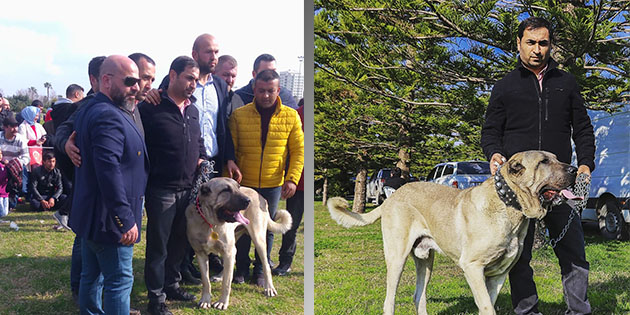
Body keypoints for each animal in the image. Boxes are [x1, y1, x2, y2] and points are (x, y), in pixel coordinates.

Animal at [186, 178, 292, 312]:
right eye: (225, 190)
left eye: (238, 187)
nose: (248, 201)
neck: (210, 223)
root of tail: (260, 196)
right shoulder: (201, 254)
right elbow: (206, 281)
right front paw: (205, 300)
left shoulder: (228, 251)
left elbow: (226, 283)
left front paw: (222, 302)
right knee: (231, 263)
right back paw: (220, 276)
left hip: (258, 239)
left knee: (266, 265)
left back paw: (269, 288)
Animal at [328, 152, 580, 314]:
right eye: (544, 162)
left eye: (556, 157)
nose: (576, 169)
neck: (509, 204)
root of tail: (393, 196)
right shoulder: (473, 267)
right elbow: (487, 307)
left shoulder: (498, 275)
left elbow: (488, 304)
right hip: (396, 257)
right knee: (389, 300)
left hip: (425, 261)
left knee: (418, 296)